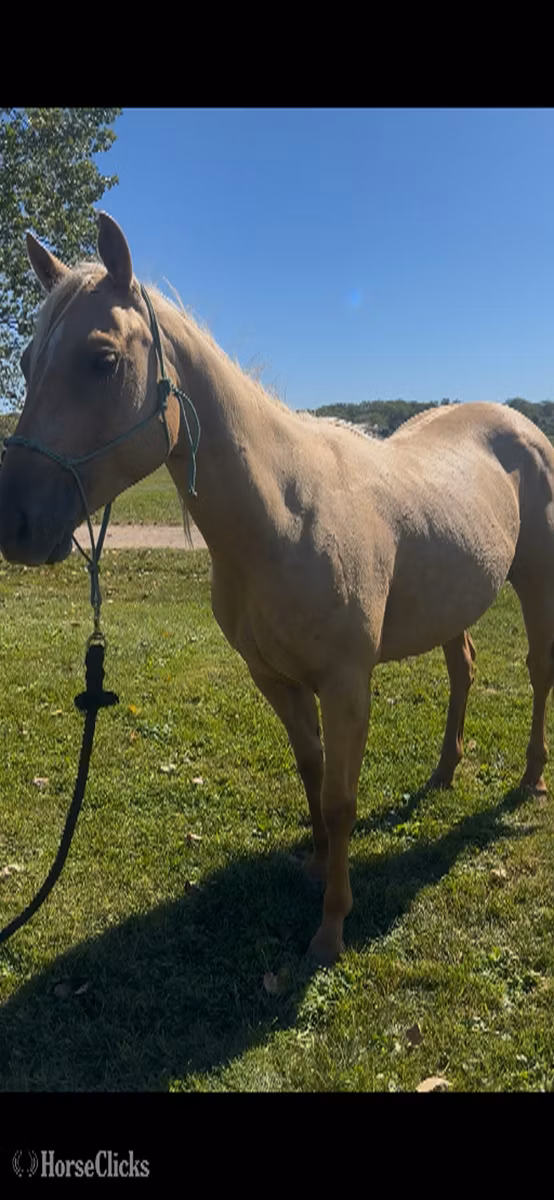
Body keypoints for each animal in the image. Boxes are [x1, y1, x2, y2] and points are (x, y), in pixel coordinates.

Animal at [1, 212, 553, 965]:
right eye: (28, 363)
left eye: (103, 359)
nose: (14, 524)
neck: (285, 514)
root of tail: (518, 422)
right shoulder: (275, 679)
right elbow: (311, 772)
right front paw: (317, 865)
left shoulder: (347, 684)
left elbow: (343, 798)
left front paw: (331, 928)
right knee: (463, 668)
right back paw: (444, 773)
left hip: (536, 579)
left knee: (538, 669)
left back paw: (529, 778)